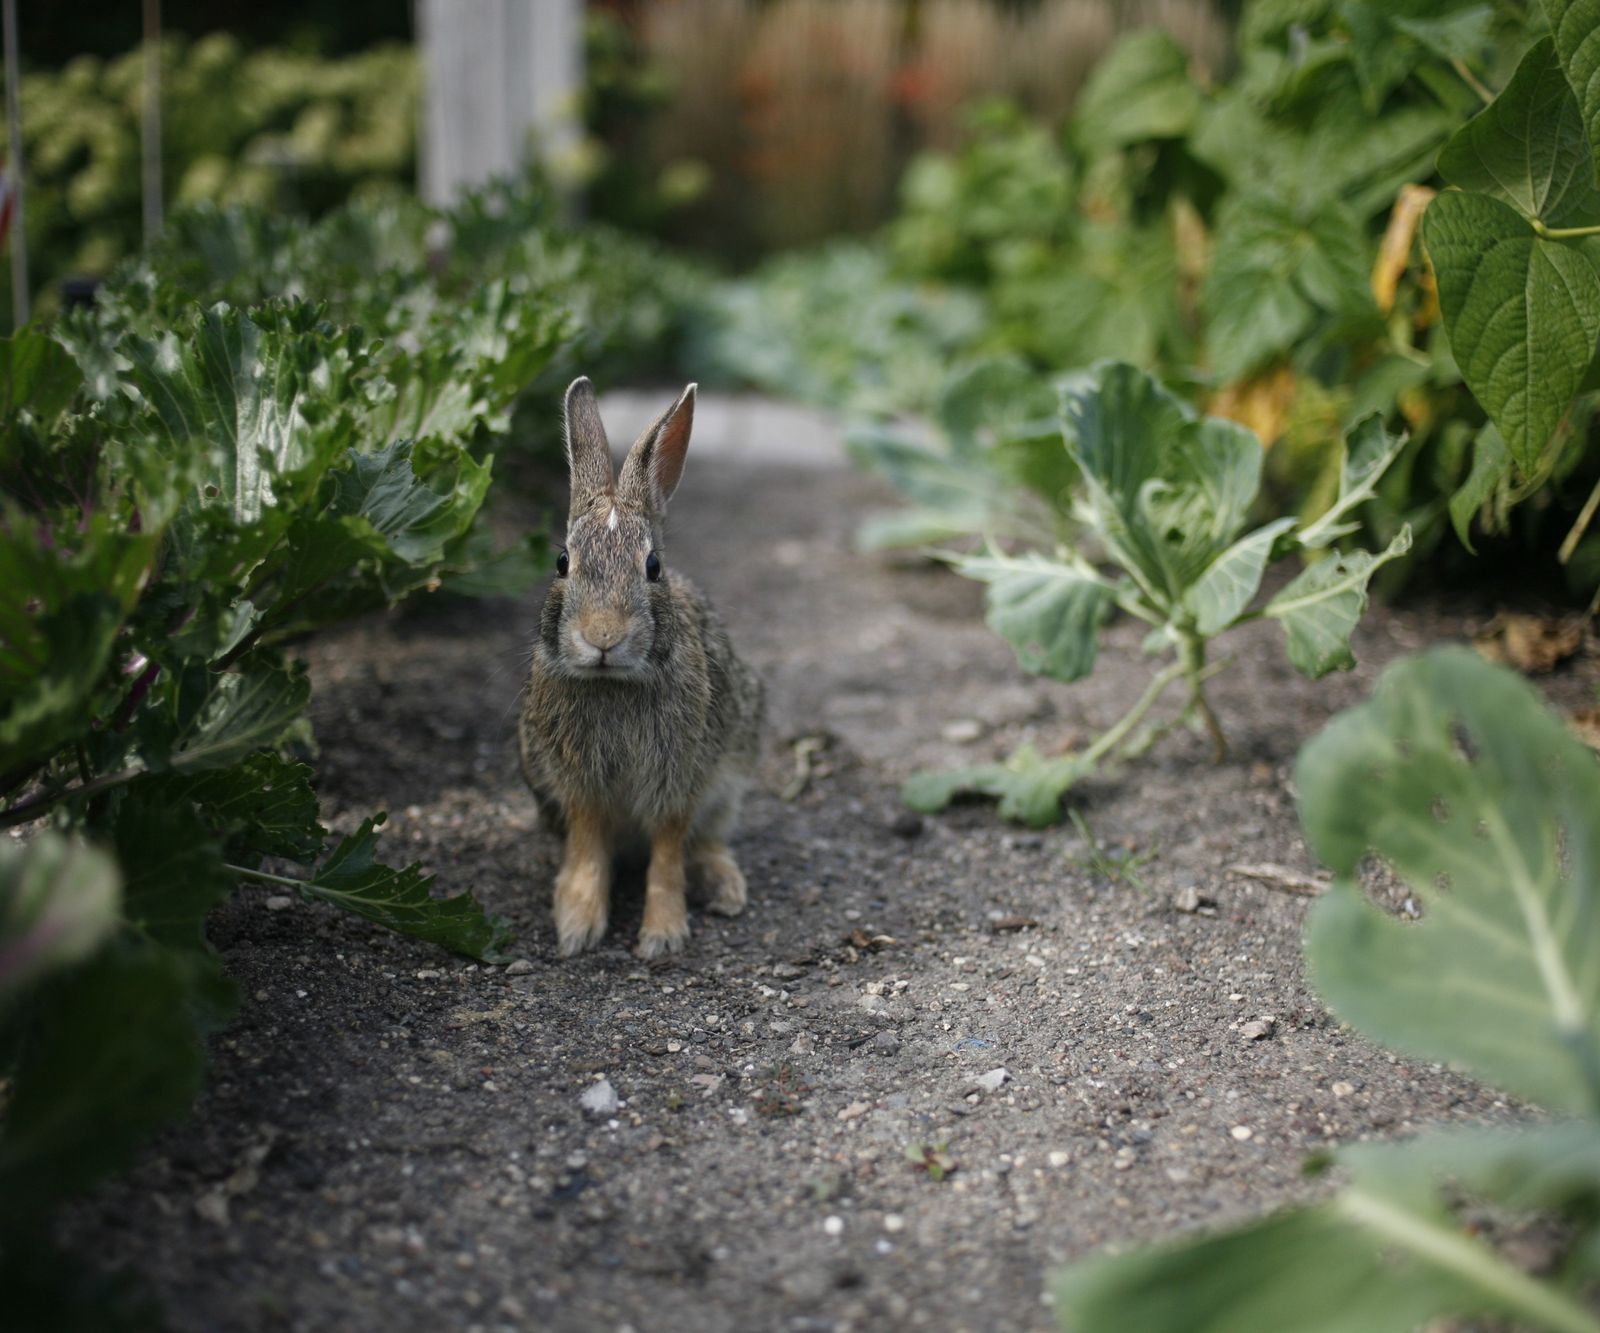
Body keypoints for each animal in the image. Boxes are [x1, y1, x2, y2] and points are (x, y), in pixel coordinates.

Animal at [512, 374, 761, 960]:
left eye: (653, 567)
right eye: (562, 562)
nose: (602, 636)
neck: (614, 682)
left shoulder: (679, 775)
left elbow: (668, 850)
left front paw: (662, 935)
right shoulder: (577, 784)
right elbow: (587, 846)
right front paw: (576, 926)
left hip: (731, 778)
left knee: (707, 840)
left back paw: (725, 888)